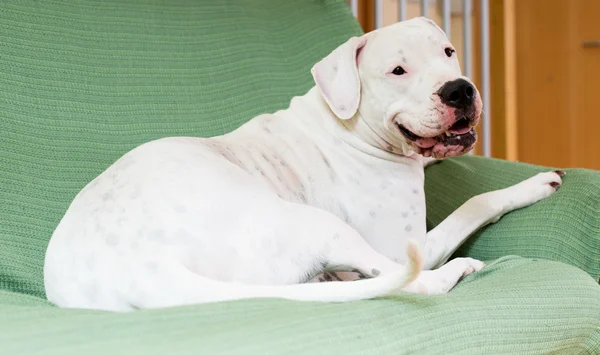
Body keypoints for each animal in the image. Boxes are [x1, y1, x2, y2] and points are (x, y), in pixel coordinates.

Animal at [43, 18, 564, 312]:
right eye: (397, 71)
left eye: (448, 52)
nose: (459, 90)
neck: (349, 126)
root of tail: (140, 272)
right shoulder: (402, 244)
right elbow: (475, 202)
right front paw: (534, 183)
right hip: (315, 225)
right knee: (415, 283)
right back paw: (455, 271)